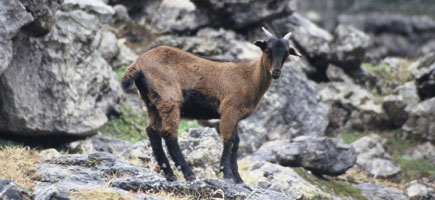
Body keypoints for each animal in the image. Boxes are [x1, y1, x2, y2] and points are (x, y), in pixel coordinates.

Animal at [121, 27, 302, 184]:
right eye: (267, 50)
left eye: (287, 53)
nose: (276, 73)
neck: (249, 77)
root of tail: (138, 64)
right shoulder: (229, 110)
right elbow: (229, 140)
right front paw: (227, 173)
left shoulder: (236, 116)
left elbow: (236, 143)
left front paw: (238, 178)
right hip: (169, 99)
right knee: (168, 133)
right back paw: (188, 173)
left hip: (152, 103)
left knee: (152, 131)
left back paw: (170, 173)